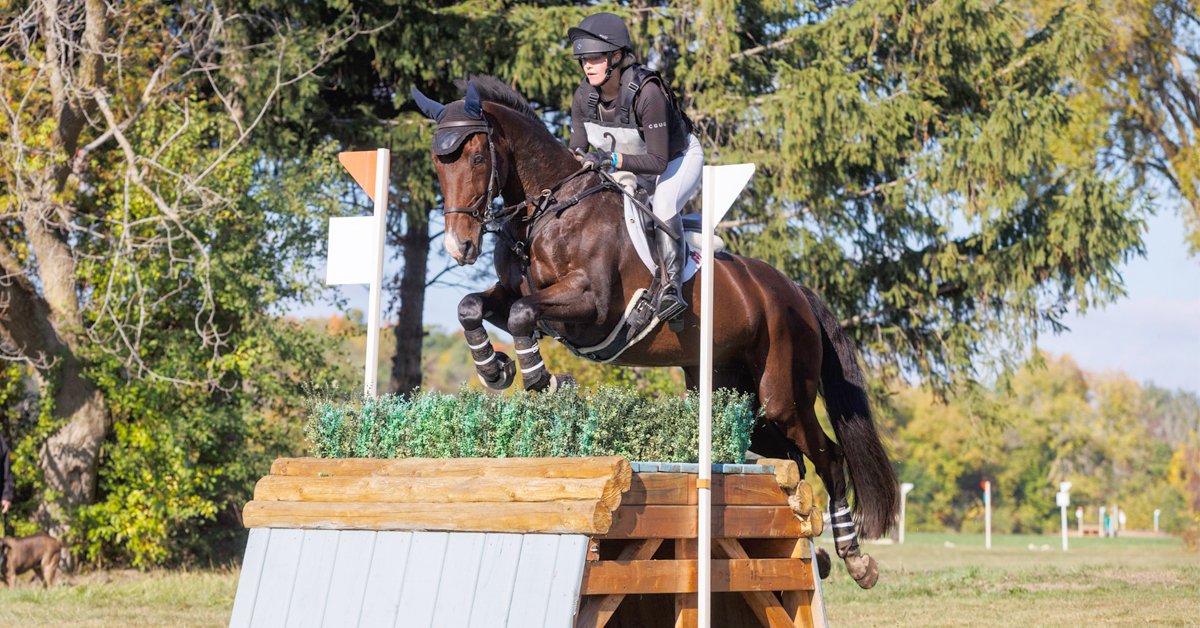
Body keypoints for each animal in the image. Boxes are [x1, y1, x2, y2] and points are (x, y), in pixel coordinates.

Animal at [411, 76, 897, 588]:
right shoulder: (511, 295)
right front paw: (496, 368)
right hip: (736, 397)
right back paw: (811, 549)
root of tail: (793, 289)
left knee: (828, 456)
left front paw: (545, 380)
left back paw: (855, 558)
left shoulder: (591, 307)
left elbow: (525, 314)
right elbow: (473, 307)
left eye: (477, 158)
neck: (551, 212)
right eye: (438, 163)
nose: (460, 247)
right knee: (793, 460)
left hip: (783, 393)